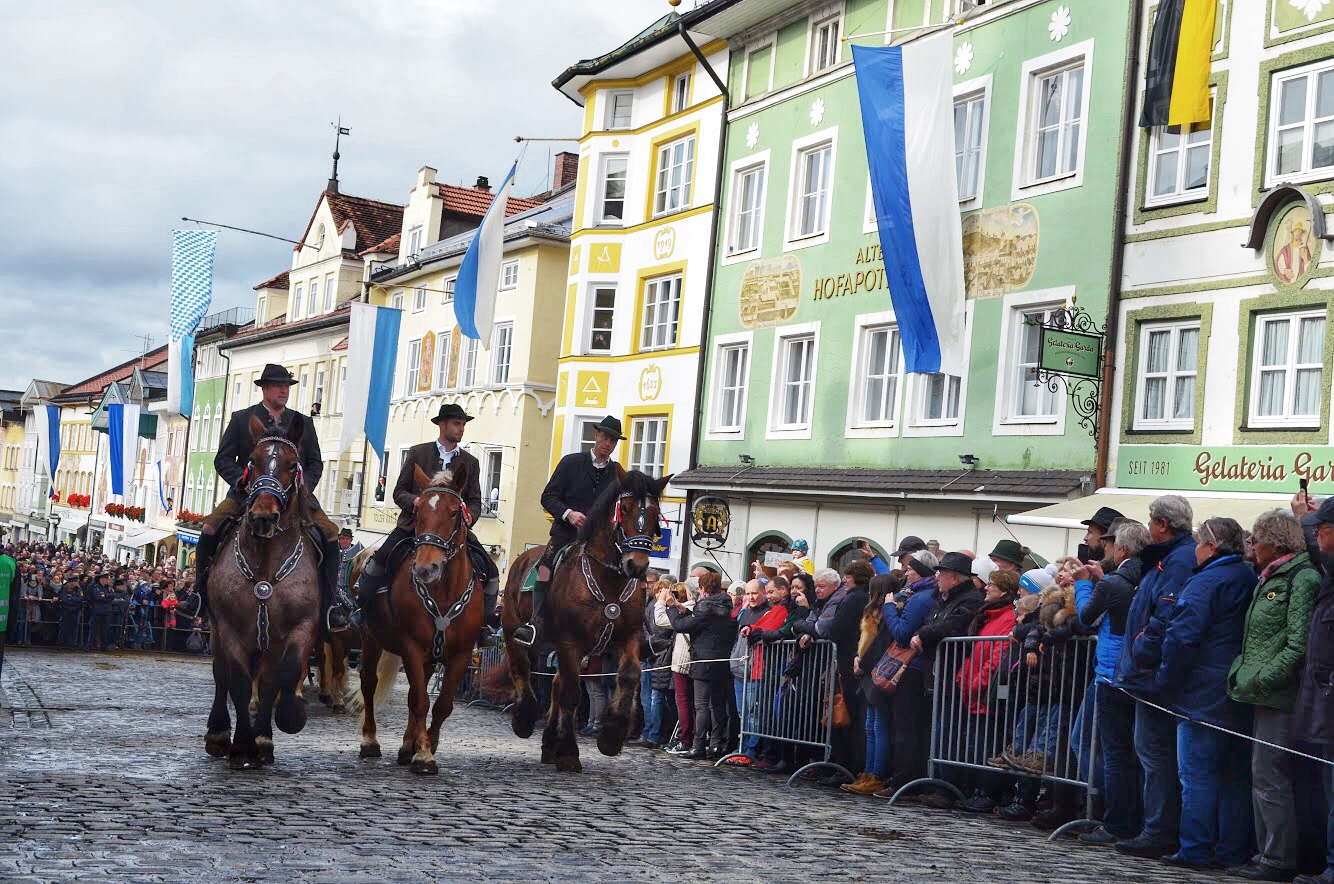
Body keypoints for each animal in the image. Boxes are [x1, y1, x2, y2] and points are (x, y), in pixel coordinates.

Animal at [203, 415, 322, 770]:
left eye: (292, 464)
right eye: (252, 462)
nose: (263, 517)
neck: (267, 567)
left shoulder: (301, 627)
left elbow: (285, 674)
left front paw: (287, 718)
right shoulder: (231, 629)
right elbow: (240, 684)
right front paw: (242, 746)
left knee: (267, 681)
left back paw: (263, 739)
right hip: (217, 630)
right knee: (222, 676)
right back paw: (219, 734)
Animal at [357, 461, 484, 775]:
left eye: (454, 512)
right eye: (420, 511)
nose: (426, 568)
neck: (444, 590)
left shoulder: (460, 654)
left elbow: (441, 705)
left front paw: (426, 746)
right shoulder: (412, 648)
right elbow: (422, 702)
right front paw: (424, 755)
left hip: (429, 657)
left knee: (414, 694)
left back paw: (406, 746)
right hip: (370, 637)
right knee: (370, 683)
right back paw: (370, 741)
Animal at [503, 466, 670, 772]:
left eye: (655, 513)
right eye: (624, 508)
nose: (637, 566)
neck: (609, 579)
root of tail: (523, 557)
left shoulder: (628, 638)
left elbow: (629, 676)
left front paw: (612, 735)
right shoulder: (570, 642)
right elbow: (571, 694)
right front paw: (569, 752)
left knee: (555, 685)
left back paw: (550, 743)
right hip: (513, 629)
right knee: (521, 667)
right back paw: (525, 718)